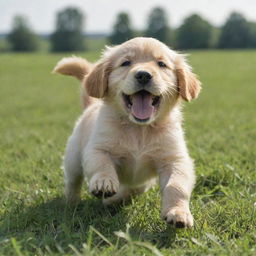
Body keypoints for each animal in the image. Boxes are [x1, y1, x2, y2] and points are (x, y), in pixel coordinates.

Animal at [54, 37, 201, 228]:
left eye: (161, 64)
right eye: (125, 63)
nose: (143, 75)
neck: (139, 129)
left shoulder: (175, 159)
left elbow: (176, 185)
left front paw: (178, 213)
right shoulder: (97, 148)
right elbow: (101, 164)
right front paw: (104, 182)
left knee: (135, 188)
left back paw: (114, 200)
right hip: (72, 158)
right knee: (73, 182)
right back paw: (71, 203)